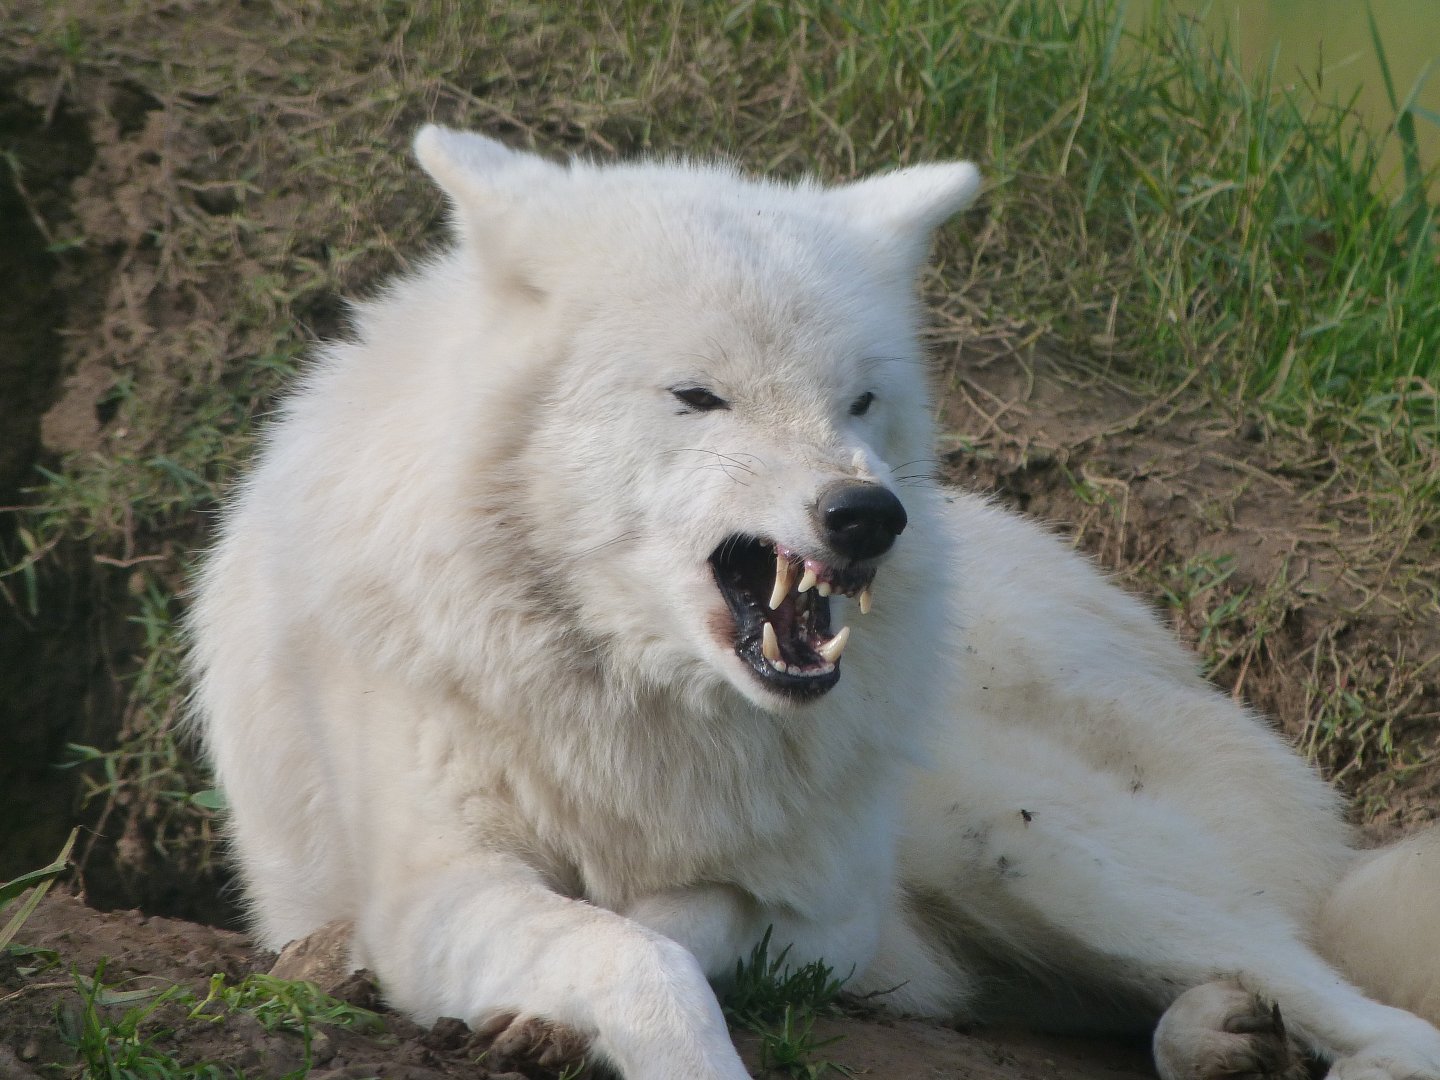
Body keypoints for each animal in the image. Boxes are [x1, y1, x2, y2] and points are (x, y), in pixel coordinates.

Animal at [190, 126, 1440, 1080]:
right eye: (700, 397)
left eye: (861, 400)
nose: (868, 516)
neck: (633, 701)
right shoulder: (431, 889)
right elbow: (627, 954)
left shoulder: (822, 917)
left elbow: (668, 925)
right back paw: (1222, 1036)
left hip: (1018, 844)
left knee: (1357, 999)